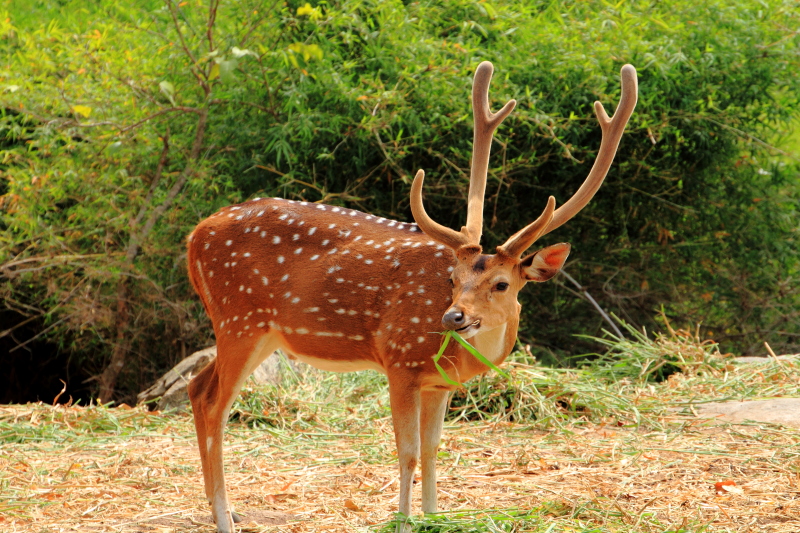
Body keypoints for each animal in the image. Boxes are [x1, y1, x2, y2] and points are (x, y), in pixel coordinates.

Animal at [186, 60, 636, 528]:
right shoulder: (399, 361)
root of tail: (193, 237)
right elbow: (407, 451)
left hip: (256, 332)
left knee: (197, 388)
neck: (457, 357)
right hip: (239, 319)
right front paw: (402, 520)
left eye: (502, 284)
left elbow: (434, 448)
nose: (453, 317)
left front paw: (434, 516)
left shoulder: (439, 385)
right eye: (452, 278)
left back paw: (220, 507)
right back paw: (224, 517)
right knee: (214, 403)